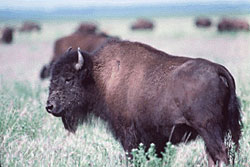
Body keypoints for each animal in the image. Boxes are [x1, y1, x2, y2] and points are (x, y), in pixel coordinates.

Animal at [45, 39, 242, 166]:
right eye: (52, 76)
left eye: (69, 78)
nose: (50, 106)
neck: (99, 77)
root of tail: (218, 69)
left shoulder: (128, 134)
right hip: (216, 130)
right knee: (214, 155)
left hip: (208, 128)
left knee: (221, 153)